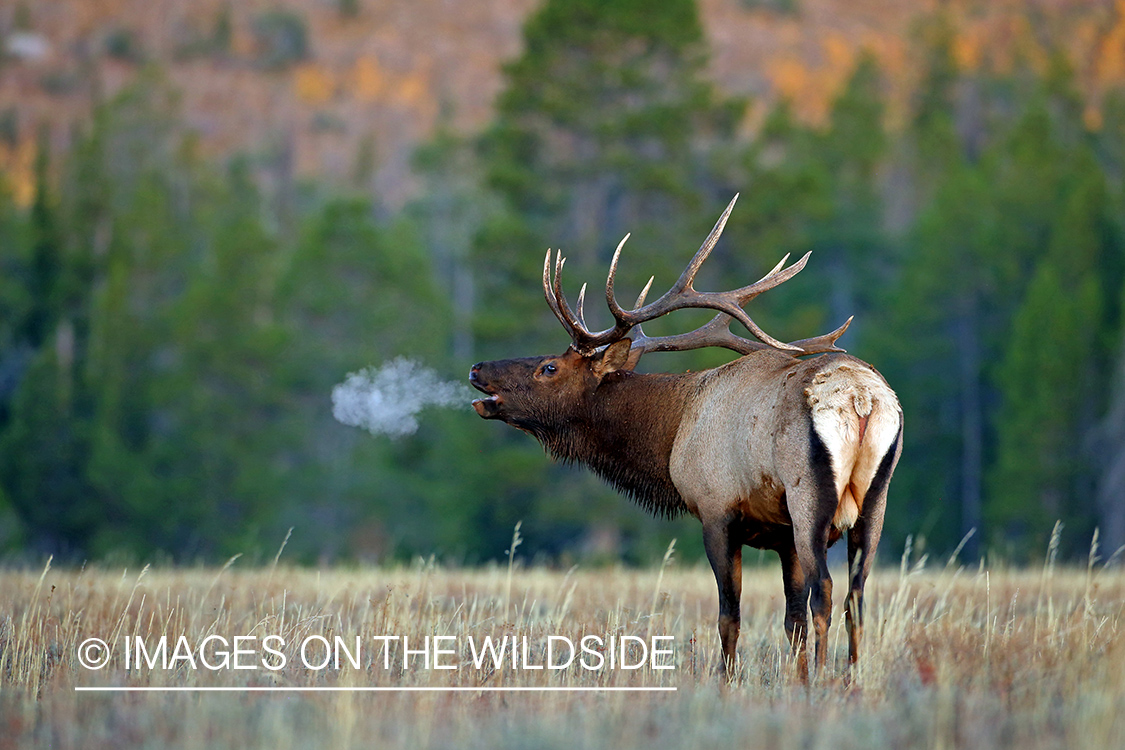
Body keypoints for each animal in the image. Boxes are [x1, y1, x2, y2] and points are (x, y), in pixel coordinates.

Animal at [470, 196, 900, 679]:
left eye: (549, 367)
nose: (478, 369)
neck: (671, 433)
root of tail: (862, 398)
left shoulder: (716, 511)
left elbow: (730, 616)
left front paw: (728, 680)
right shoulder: (783, 537)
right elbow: (792, 621)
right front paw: (796, 679)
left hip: (807, 493)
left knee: (825, 589)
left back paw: (827, 680)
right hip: (876, 500)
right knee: (856, 595)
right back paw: (852, 678)